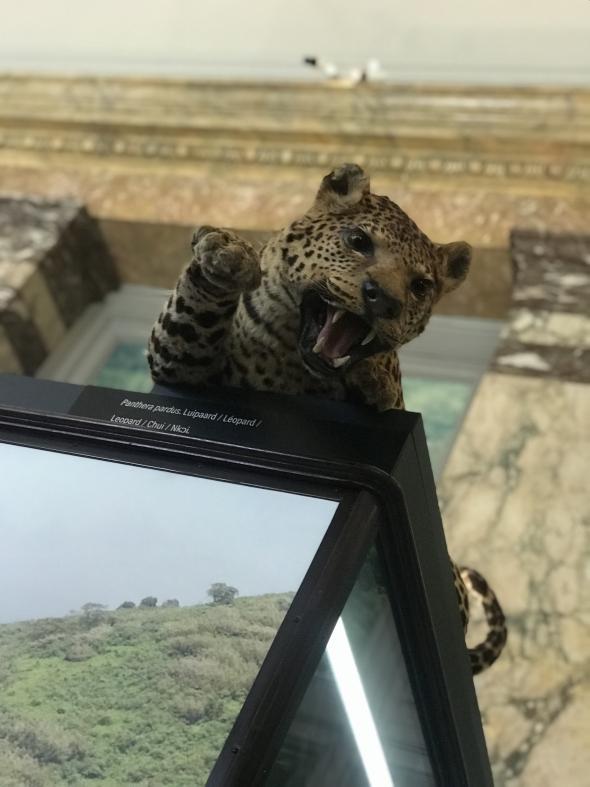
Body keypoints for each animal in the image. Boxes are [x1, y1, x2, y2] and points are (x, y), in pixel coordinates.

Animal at [148, 163, 508, 676]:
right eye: (358, 241)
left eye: (420, 286)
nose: (383, 299)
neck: (291, 357)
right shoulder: (183, 373)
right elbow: (193, 313)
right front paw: (223, 253)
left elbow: (386, 390)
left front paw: (376, 376)